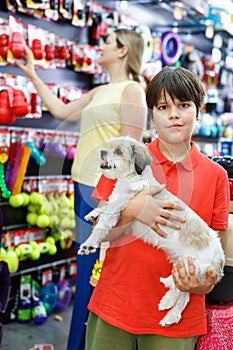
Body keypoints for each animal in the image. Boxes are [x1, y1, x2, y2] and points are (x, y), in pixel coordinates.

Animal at [78, 136, 224, 326]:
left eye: (118, 151)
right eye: (109, 147)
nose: (102, 151)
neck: (133, 178)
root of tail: (220, 257)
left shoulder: (121, 205)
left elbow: (103, 223)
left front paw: (89, 244)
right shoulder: (121, 209)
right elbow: (105, 208)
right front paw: (94, 213)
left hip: (192, 267)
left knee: (180, 291)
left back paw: (167, 303)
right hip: (186, 269)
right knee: (183, 295)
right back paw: (169, 311)